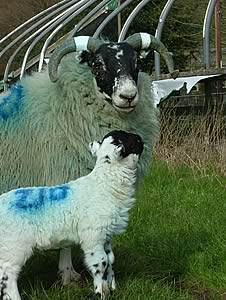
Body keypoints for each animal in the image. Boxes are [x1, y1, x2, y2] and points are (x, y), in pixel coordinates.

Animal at [0, 131, 144, 300]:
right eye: (134, 141)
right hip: (14, 245)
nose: (141, 139)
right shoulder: (93, 237)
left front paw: (112, 288)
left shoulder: (107, 236)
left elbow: (110, 260)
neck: (105, 183)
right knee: (7, 273)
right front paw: (100, 292)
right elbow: (100, 263)